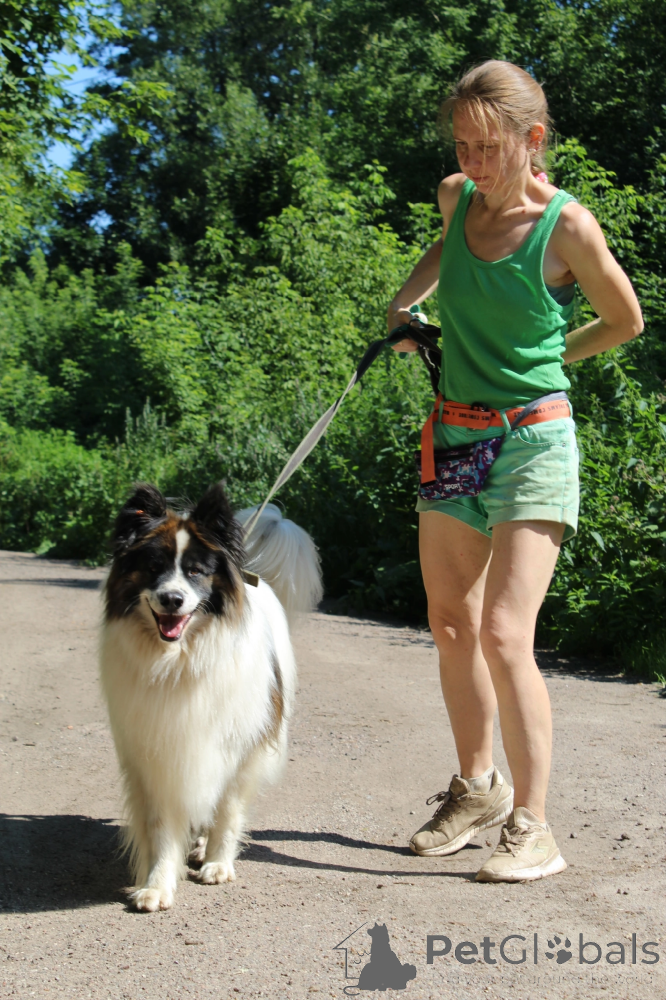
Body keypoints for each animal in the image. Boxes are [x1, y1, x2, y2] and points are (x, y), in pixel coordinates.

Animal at [100, 482, 322, 911]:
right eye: (153, 568)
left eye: (196, 572)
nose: (172, 599)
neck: (179, 660)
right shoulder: (157, 754)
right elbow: (162, 826)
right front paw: (157, 884)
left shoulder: (241, 747)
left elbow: (229, 810)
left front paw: (219, 862)